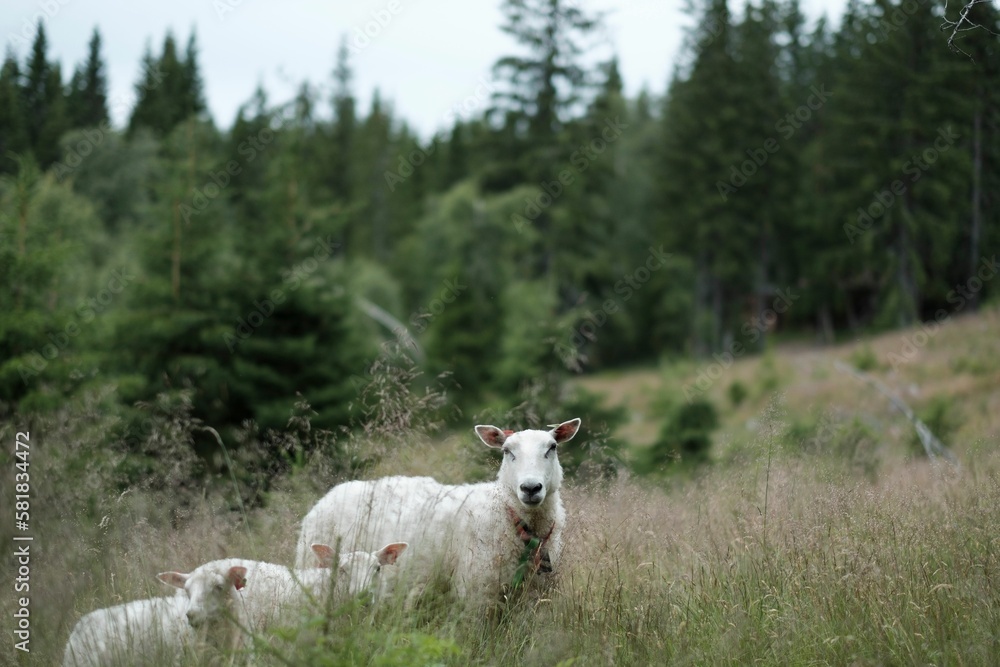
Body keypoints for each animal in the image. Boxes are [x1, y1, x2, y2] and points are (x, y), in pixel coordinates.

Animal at [294, 418, 582, 606]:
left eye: (552, 448)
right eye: (506, 451)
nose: (530, 488)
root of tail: (331, 493)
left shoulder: (534, 598)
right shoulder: (475, 594)